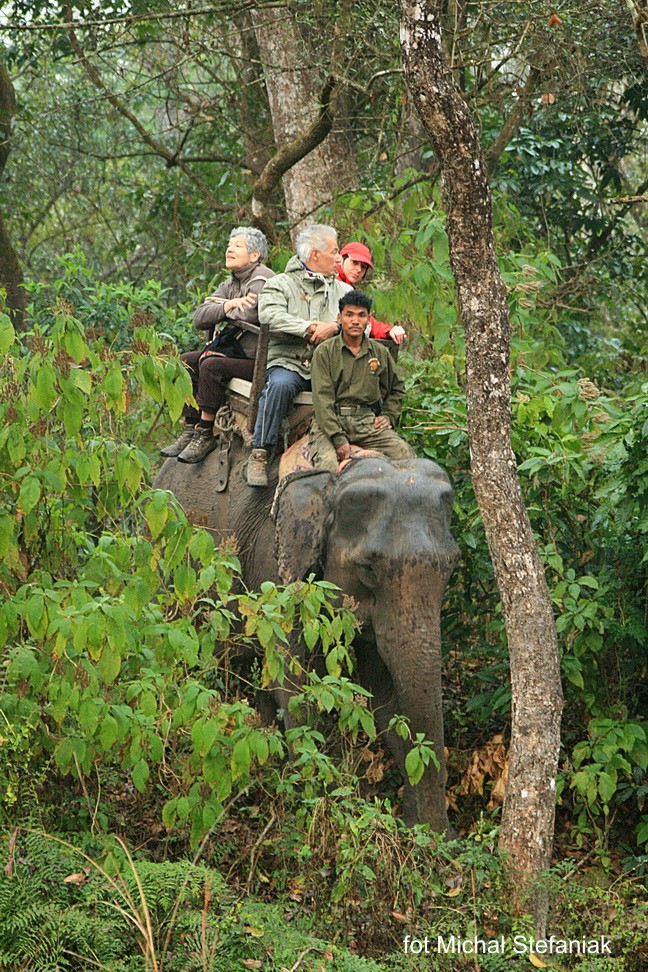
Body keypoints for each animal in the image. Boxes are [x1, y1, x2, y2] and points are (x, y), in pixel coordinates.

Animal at [154, 444, 458, 832]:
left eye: (451, 566)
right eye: (369, 567)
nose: (440, 831)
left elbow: (383, 693)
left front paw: (422, 834)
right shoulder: (277, 566)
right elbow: (293, 683)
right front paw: (307, 807)